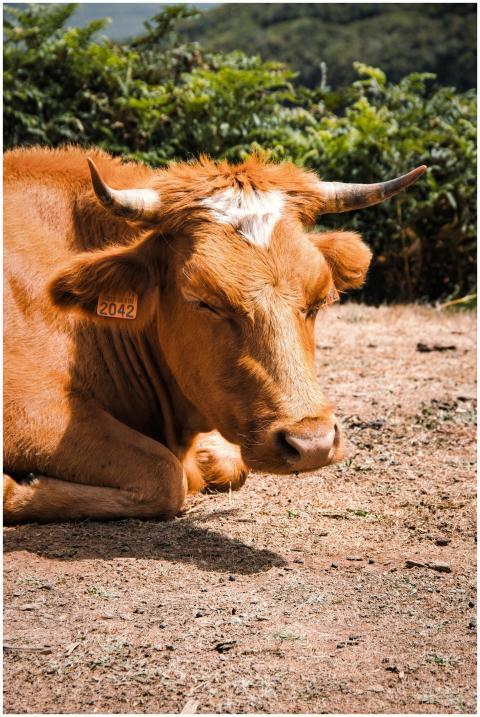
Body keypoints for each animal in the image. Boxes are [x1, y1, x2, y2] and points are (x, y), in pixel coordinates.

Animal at [3, 147, 425, 523]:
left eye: (320, 299)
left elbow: (224, 463)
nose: (312, 444)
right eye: (203, 300)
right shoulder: (26, 409)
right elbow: (165, 475)